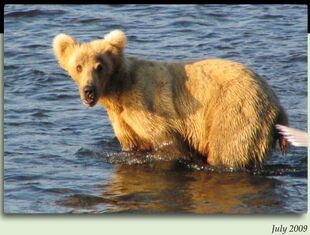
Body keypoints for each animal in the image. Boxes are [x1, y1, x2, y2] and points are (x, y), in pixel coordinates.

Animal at [52, 29, 288, 169]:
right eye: (78, 66)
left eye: (100, 66)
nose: (88, 91)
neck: (118, 92)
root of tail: (277, 103)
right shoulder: (123, 121)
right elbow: (133, 145)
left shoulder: (148, 105)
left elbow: (169, 141)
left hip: (236, 109)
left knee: (228, 149)